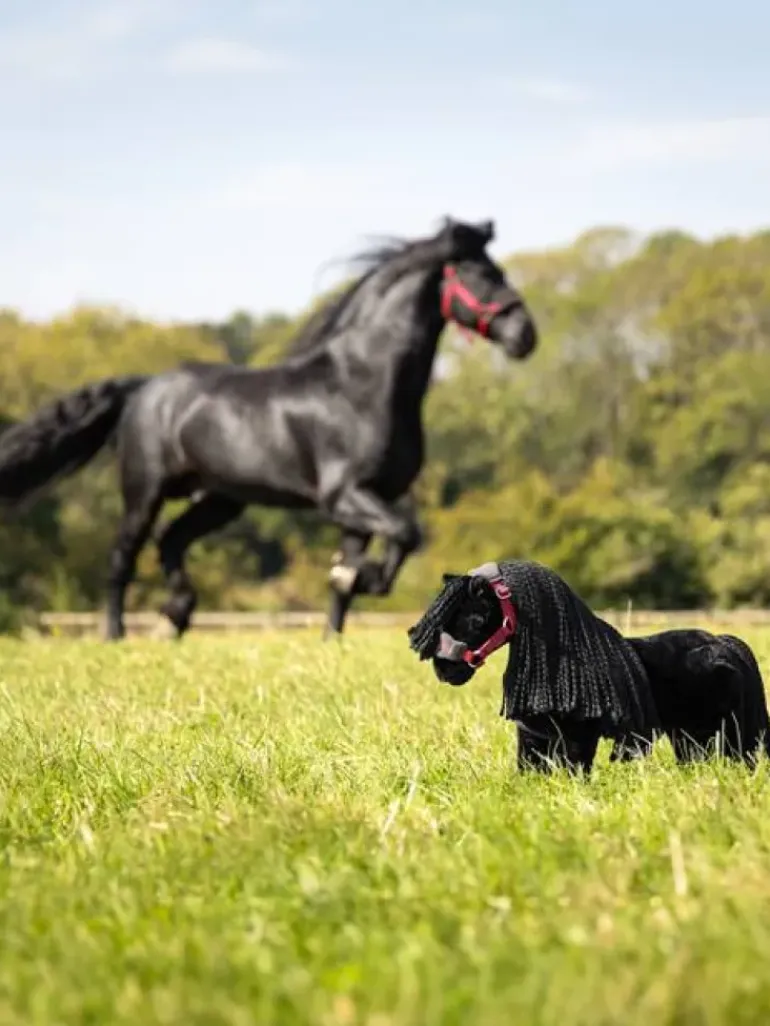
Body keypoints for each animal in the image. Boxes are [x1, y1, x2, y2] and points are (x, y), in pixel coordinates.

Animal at [0, 217, 537, 641]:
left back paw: (175, 618)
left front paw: (336, 625)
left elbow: (355, 575)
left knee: (171, 541)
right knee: (123, 557)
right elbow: (405, 534)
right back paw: (117, 635)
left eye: (500, 272)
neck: (363, 385)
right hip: (145, 490)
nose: (525, 336)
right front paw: (359, 580)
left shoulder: (365, 504)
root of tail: (144, 387)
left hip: (220, 499)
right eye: (479, 275)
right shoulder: (344, 496)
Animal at [407, 560, 770, 773]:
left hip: (716, 738)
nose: (444, 669)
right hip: (689, 740)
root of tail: (726, 644)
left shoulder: (578, 741)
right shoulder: (533, 740)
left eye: (477, 618)